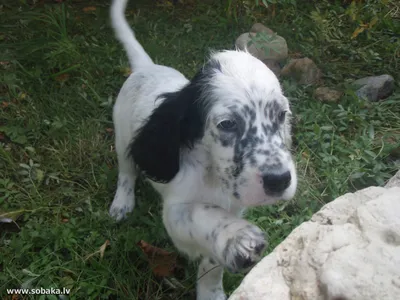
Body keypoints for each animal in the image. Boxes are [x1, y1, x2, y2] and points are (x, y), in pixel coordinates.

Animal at [109, 1, 296, 298]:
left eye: (281, 115)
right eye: (228, 124)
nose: (279, 181)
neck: (213, 176)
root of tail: (145, 68)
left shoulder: (234, 207)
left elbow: (212, 262)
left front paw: (211, 290)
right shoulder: (176, 212)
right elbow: (204, 215)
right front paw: (237, 237)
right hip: (122, 136)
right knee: (126, 172)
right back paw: (122, 203)